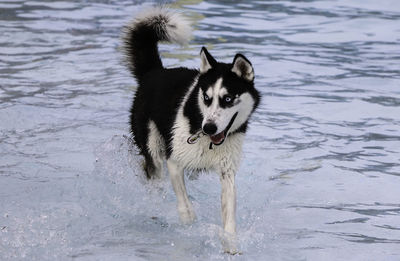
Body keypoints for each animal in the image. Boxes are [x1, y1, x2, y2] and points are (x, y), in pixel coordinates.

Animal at [122, 7, 260, 252]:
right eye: (206, 97)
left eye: (227, 99)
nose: (209, 127)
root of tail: (155, 72)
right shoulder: (174, 161)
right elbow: (185, 207)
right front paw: (189, 227)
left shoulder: (227, 171)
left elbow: (229, 216)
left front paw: (230, 246)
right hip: (153, 148)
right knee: (152, 171)